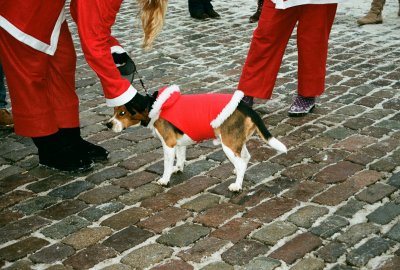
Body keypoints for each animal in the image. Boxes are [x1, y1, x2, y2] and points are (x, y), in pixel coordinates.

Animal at [106, 85, 288, 191]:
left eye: (122, 113)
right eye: (114, 111)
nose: (108, 125)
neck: (153, 106)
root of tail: (244, 106)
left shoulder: (168, 144)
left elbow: (166, 164)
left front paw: (165, 179)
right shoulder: (179, 144)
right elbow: (180, 158)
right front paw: (178, 169)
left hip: (228, 144)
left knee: (242, 163)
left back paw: (237, 185)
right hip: (236, 142)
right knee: (245, 158)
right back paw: (237, 172)